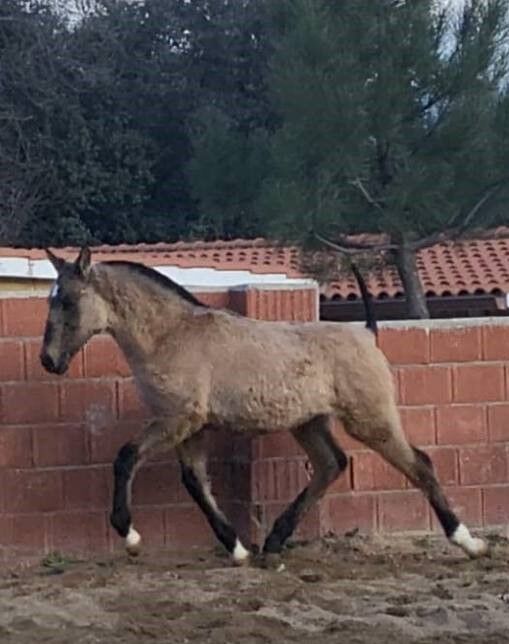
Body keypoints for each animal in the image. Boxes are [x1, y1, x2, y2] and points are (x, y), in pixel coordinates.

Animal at [40, 248, 488, 564]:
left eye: (69, 301)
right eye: (51, 300)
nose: (49, 360)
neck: (172, 334)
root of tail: (367, 333)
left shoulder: (177, 419)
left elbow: (127, 457)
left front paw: (129, 534)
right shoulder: (189, 427)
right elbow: (195, 482)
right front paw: (237, 548)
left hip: (370, 418)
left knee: (419, 464)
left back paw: (468, 541)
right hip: (309, 423)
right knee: (332, 464)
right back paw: (273, 541)